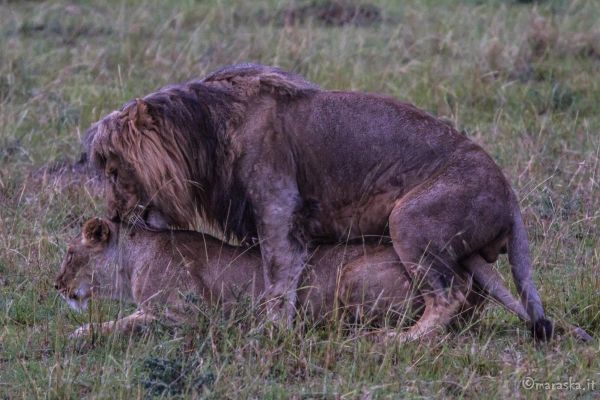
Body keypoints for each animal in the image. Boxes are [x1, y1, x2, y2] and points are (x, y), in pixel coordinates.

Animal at [86, 65, 552, 340]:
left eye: (114, 170)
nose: (113, 216)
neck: (204, 134)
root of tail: (509, 193)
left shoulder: (277, 210)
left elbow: (277, 281)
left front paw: (272, 331)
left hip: (408, 219)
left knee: (448, 295)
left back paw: (400, 339)